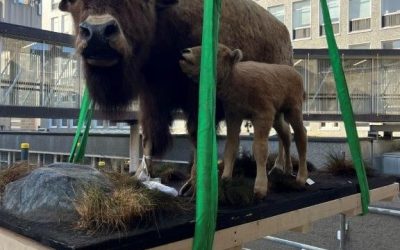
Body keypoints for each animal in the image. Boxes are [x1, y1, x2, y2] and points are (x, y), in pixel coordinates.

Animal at [58, 0, 294, 193]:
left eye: (138, 1)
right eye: (76, 1)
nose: (97, 32)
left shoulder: (197, 102)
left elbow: (196, 135)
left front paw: (193, 185)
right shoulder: (152, 98)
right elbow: (149, 136)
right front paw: (140, 176)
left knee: (284, 131)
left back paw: (279, 168)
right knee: (282, 131)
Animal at [180, 44, 308, 198]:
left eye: (216, 52)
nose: (185, 52)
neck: (236, 78)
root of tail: (295, 73)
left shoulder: (262, 116)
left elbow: (260, 149)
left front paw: (260, 188)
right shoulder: (234, 116)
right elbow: (231, 146)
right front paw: (225, 178)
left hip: (293, 110)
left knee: (301, 136)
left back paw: (301, 178)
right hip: (278, 116)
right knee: (286, 135)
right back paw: (287, 170)